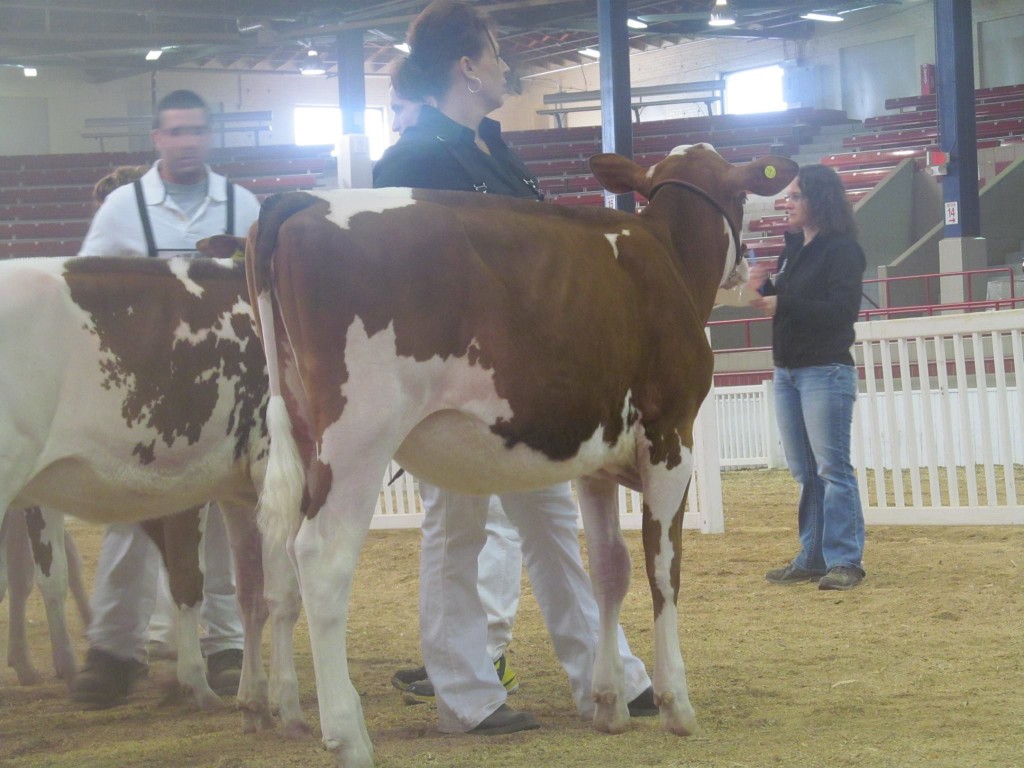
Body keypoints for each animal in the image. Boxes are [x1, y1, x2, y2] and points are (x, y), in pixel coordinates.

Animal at [0, 256, 304, 734]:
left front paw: (253, 704)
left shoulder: (239, 491)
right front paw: (287, 707)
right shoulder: (272, 472)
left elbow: (250, 598)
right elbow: (281, 596)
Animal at [247, 144, 797, 767]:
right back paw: (346, 734)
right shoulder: (671, 434)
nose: (754, 271)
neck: (667, 252)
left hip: (298, 435)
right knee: (321, 558)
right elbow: (664, 567)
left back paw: (288, 709)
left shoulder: (596, 459)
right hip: (359, 433)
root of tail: (301, 201)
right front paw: (675, 703)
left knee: (278, 556)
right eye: (743, 193)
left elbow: (609, 569)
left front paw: (609, 703)